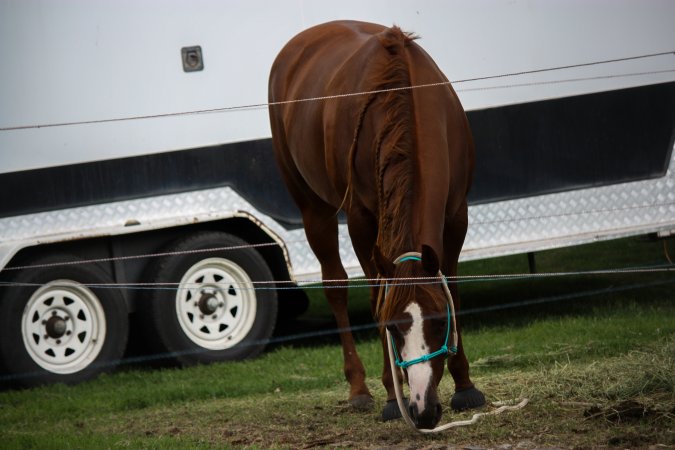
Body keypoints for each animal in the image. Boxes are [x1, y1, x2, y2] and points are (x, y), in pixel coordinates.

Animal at [268, 20, 485, 429]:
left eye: (439, 321)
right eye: (392, 327)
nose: (422, 410)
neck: (407, 99)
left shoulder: (456, 214)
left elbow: (453, 288)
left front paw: (465, 385)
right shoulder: (361, 222)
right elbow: (376, 296)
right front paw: (389, 395)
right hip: (313, 207)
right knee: (335, 286)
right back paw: (359, 389)